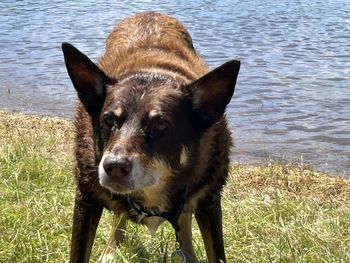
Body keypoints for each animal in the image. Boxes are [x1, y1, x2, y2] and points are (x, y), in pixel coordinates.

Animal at [61, 11, 239, 262]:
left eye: (160, 126)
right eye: (108, 120)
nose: (114, 166)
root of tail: (149, 13)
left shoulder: (209, 201)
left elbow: (215, 251)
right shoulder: (86, 199)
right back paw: (111, 249)